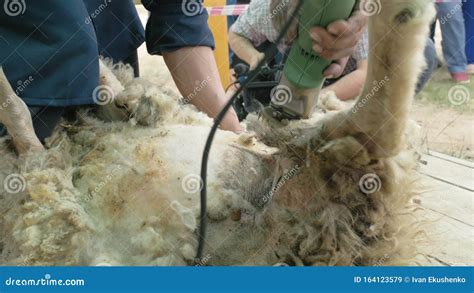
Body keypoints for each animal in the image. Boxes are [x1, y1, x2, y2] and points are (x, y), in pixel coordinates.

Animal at [0, 0, 436, 264]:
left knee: (369, 126)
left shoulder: (42, 184)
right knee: (369, 131)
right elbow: (96, 88)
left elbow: (23, 112)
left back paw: (398, 13)